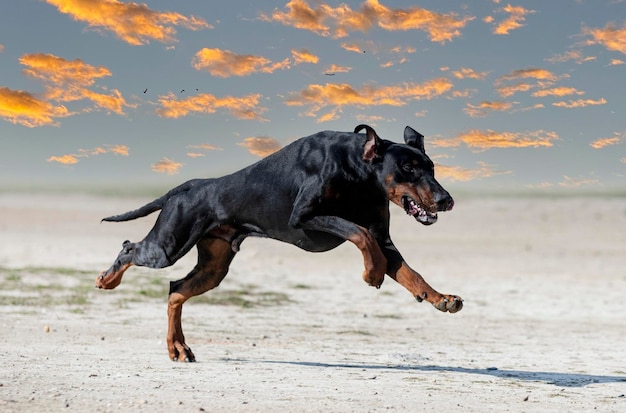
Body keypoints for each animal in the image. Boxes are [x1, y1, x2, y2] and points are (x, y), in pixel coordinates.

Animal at [96, 123, 458, 360]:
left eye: (431, 167)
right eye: (408, 167)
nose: (446, 200)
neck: (359, 170)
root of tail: (188, 185)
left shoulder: (384, 238)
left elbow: (409, 272)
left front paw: (441, 298)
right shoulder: (306, 217)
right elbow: (360, 234)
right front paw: (372, 272)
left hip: (213, 268)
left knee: (175, 291)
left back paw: (178, 347)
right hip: (168, 245)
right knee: (130, 248)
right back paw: (107, 279)